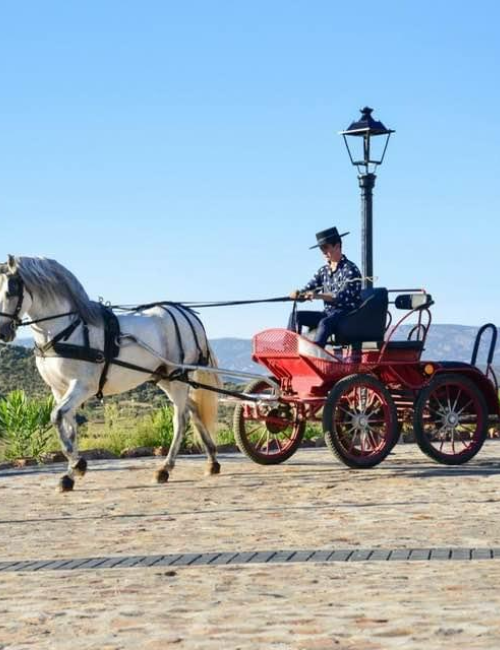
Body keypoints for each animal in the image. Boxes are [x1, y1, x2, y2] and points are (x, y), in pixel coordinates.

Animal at [0, 256, 221, 488]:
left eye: (11, 291)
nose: (3, 333)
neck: (67, 330)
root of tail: (189, 315)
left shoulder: (82, 386)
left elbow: (57, 416)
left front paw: (77, 465)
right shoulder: (59, 389)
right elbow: (69, 427)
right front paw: (71, 473)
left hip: (178, 378)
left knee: (181, 418)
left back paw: (165, 468)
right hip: (167, 378)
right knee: (193, 409)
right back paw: (212, 460)